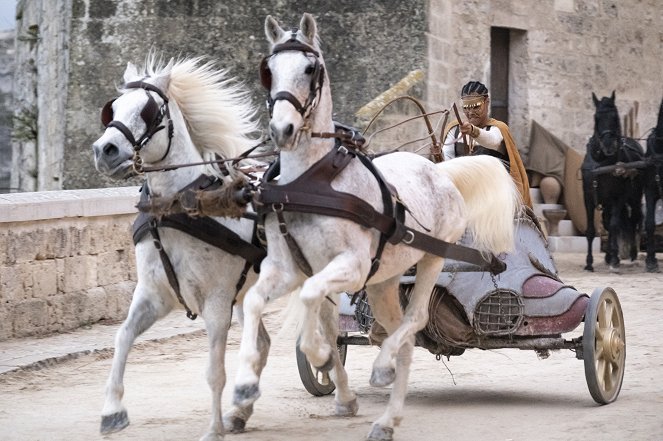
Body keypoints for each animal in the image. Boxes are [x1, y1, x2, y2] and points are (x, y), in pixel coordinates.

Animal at [92, 55, 272, 440]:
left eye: (148, 111)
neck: (178, 208)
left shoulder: (216, 302)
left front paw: (213, 429)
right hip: (246, 294)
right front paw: (112, 410)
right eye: (113, 107)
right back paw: (241, 411)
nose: (104, 150)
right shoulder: (154, 295)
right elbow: (122, 337)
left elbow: (215, 371)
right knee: (263, 344)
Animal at [233, 13, 524, 440]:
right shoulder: (286, 268)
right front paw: (243, 390)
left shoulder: (350, 266)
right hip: (384, 279)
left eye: (310, 69)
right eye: (267, 70)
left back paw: (383, 375)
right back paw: (387, 416)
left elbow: (311, 299)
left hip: (433, 257)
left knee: (415, 320)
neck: (313, 183)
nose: (281, 130)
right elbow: (257, 302)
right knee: (401, 333)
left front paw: (319, 355)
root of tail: (439, 171)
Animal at [584, 92, 644, 272]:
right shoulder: (588, 197)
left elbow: (615, 225)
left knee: (633, 219)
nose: (609, 146)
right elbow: (591, 230)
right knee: (607, 221)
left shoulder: (619, 197)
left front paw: (615, 260)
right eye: (596, 117)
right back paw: (609, 255)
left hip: (634, 197)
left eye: (616, 117)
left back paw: (630, 254)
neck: (601, 163)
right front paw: (589, 263)